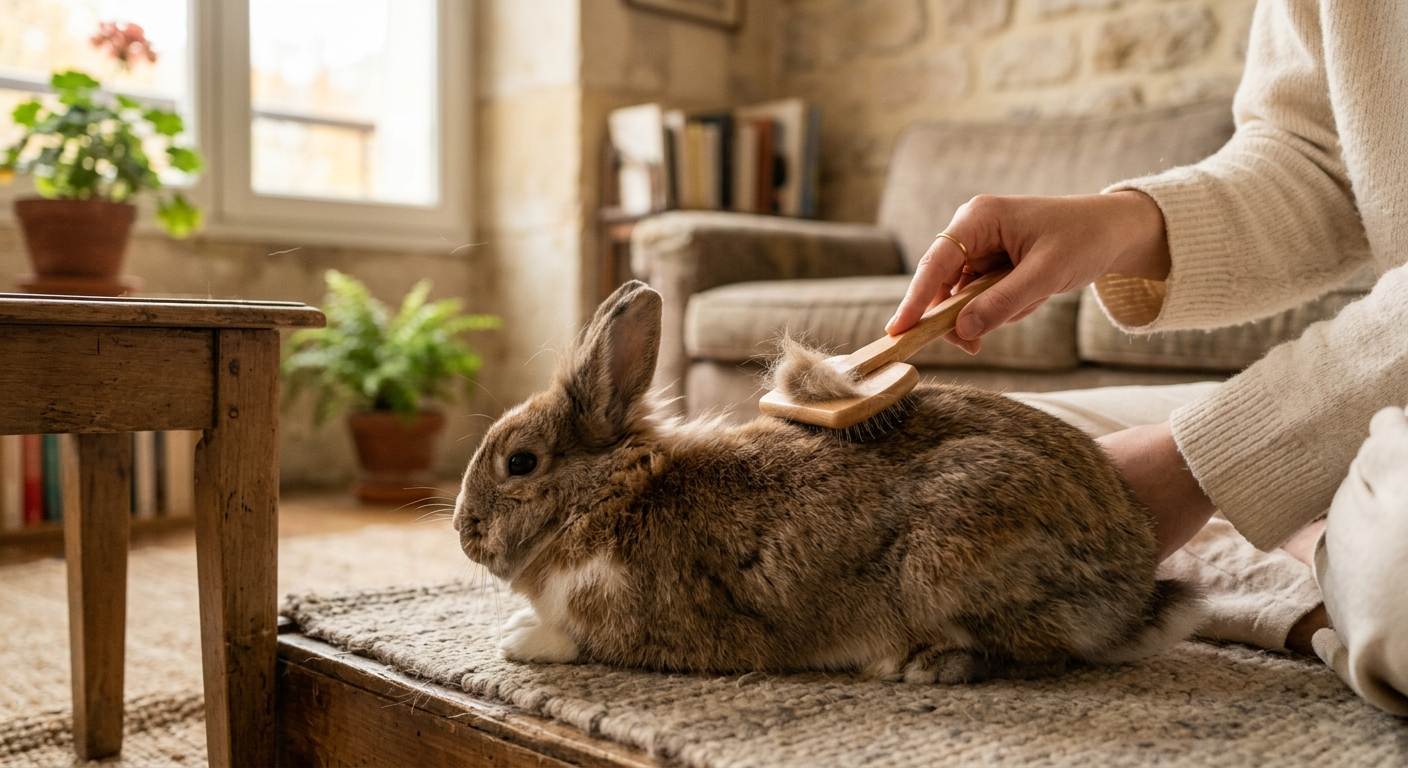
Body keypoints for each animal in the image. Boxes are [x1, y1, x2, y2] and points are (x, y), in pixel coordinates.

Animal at [452, 280, 1202, 683]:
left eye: (521, 463)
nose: (462, 531)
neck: (611, 496)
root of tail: (1133, 589)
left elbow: (585, 641)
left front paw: (520, 640)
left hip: (947, 560)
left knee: (1044, 657)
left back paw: (921, 664)